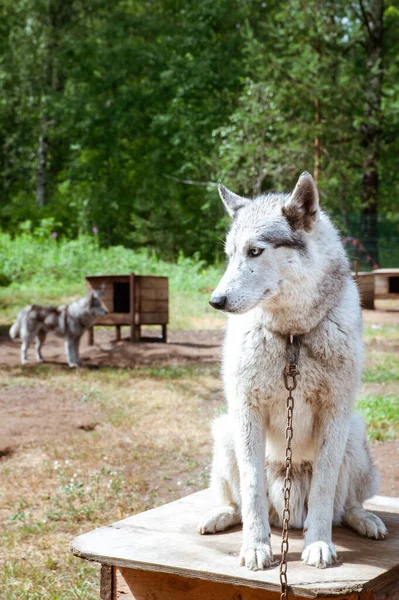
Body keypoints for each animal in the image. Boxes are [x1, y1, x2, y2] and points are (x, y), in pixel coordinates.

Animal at [199, 175, 388, 572]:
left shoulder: (335, 413)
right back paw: (220, 516)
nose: (215, 301)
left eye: (255, 251)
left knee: (345, 506)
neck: (291, 337)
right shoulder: (246, 412)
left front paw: (318, 544)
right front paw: (257, 546)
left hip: (354, 435)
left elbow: (324, 491)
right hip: (225, 430)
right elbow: (252, 491)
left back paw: (365, 520)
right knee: (237, 503)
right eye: (230, 255)